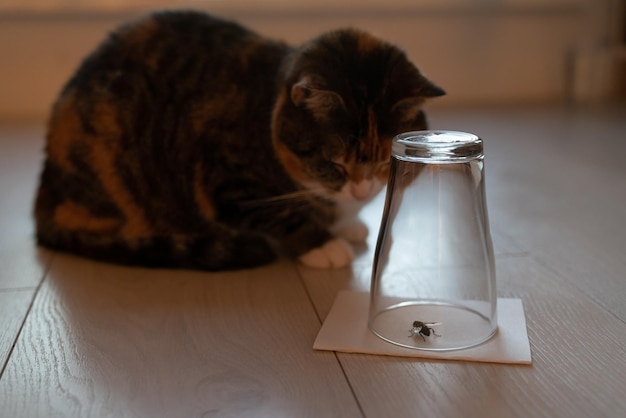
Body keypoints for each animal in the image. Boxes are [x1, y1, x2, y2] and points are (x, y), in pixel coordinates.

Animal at [34, 10, 444, 272]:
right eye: (334, 164)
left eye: (384, 163)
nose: (361, 192)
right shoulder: (228, 180)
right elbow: (280, 215)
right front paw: (323, 244)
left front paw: (348, 224)